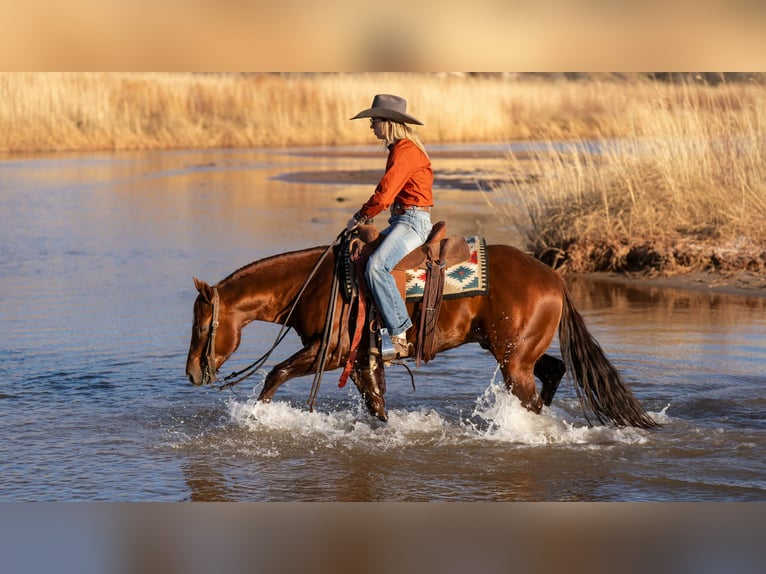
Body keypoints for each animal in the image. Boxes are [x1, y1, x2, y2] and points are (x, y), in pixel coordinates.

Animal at [185, 230, 657, 429]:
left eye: (203, 325)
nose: (191, 373)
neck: (319, 283)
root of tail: (553, 276)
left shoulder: (333, 352)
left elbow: (274, 374)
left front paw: (257, 417)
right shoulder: (362, 360)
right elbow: (376, 405)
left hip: (514, 362)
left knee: (534, 398)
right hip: (515, 353)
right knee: (555, 370)